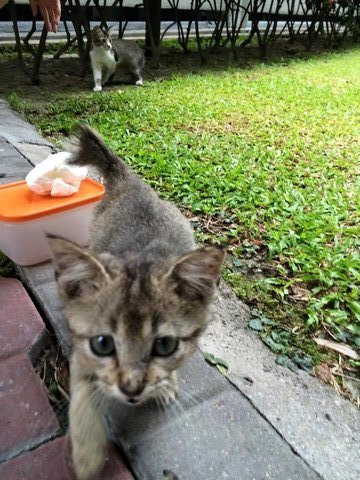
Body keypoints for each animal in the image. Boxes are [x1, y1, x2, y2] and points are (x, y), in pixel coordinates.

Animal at [47, 125, 225, 478]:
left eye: (164, 345)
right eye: (102, 344)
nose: (131, 388)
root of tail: (132, 183)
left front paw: (165, 384)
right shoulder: (81, 353)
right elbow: (83, 396)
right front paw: (87, 457)